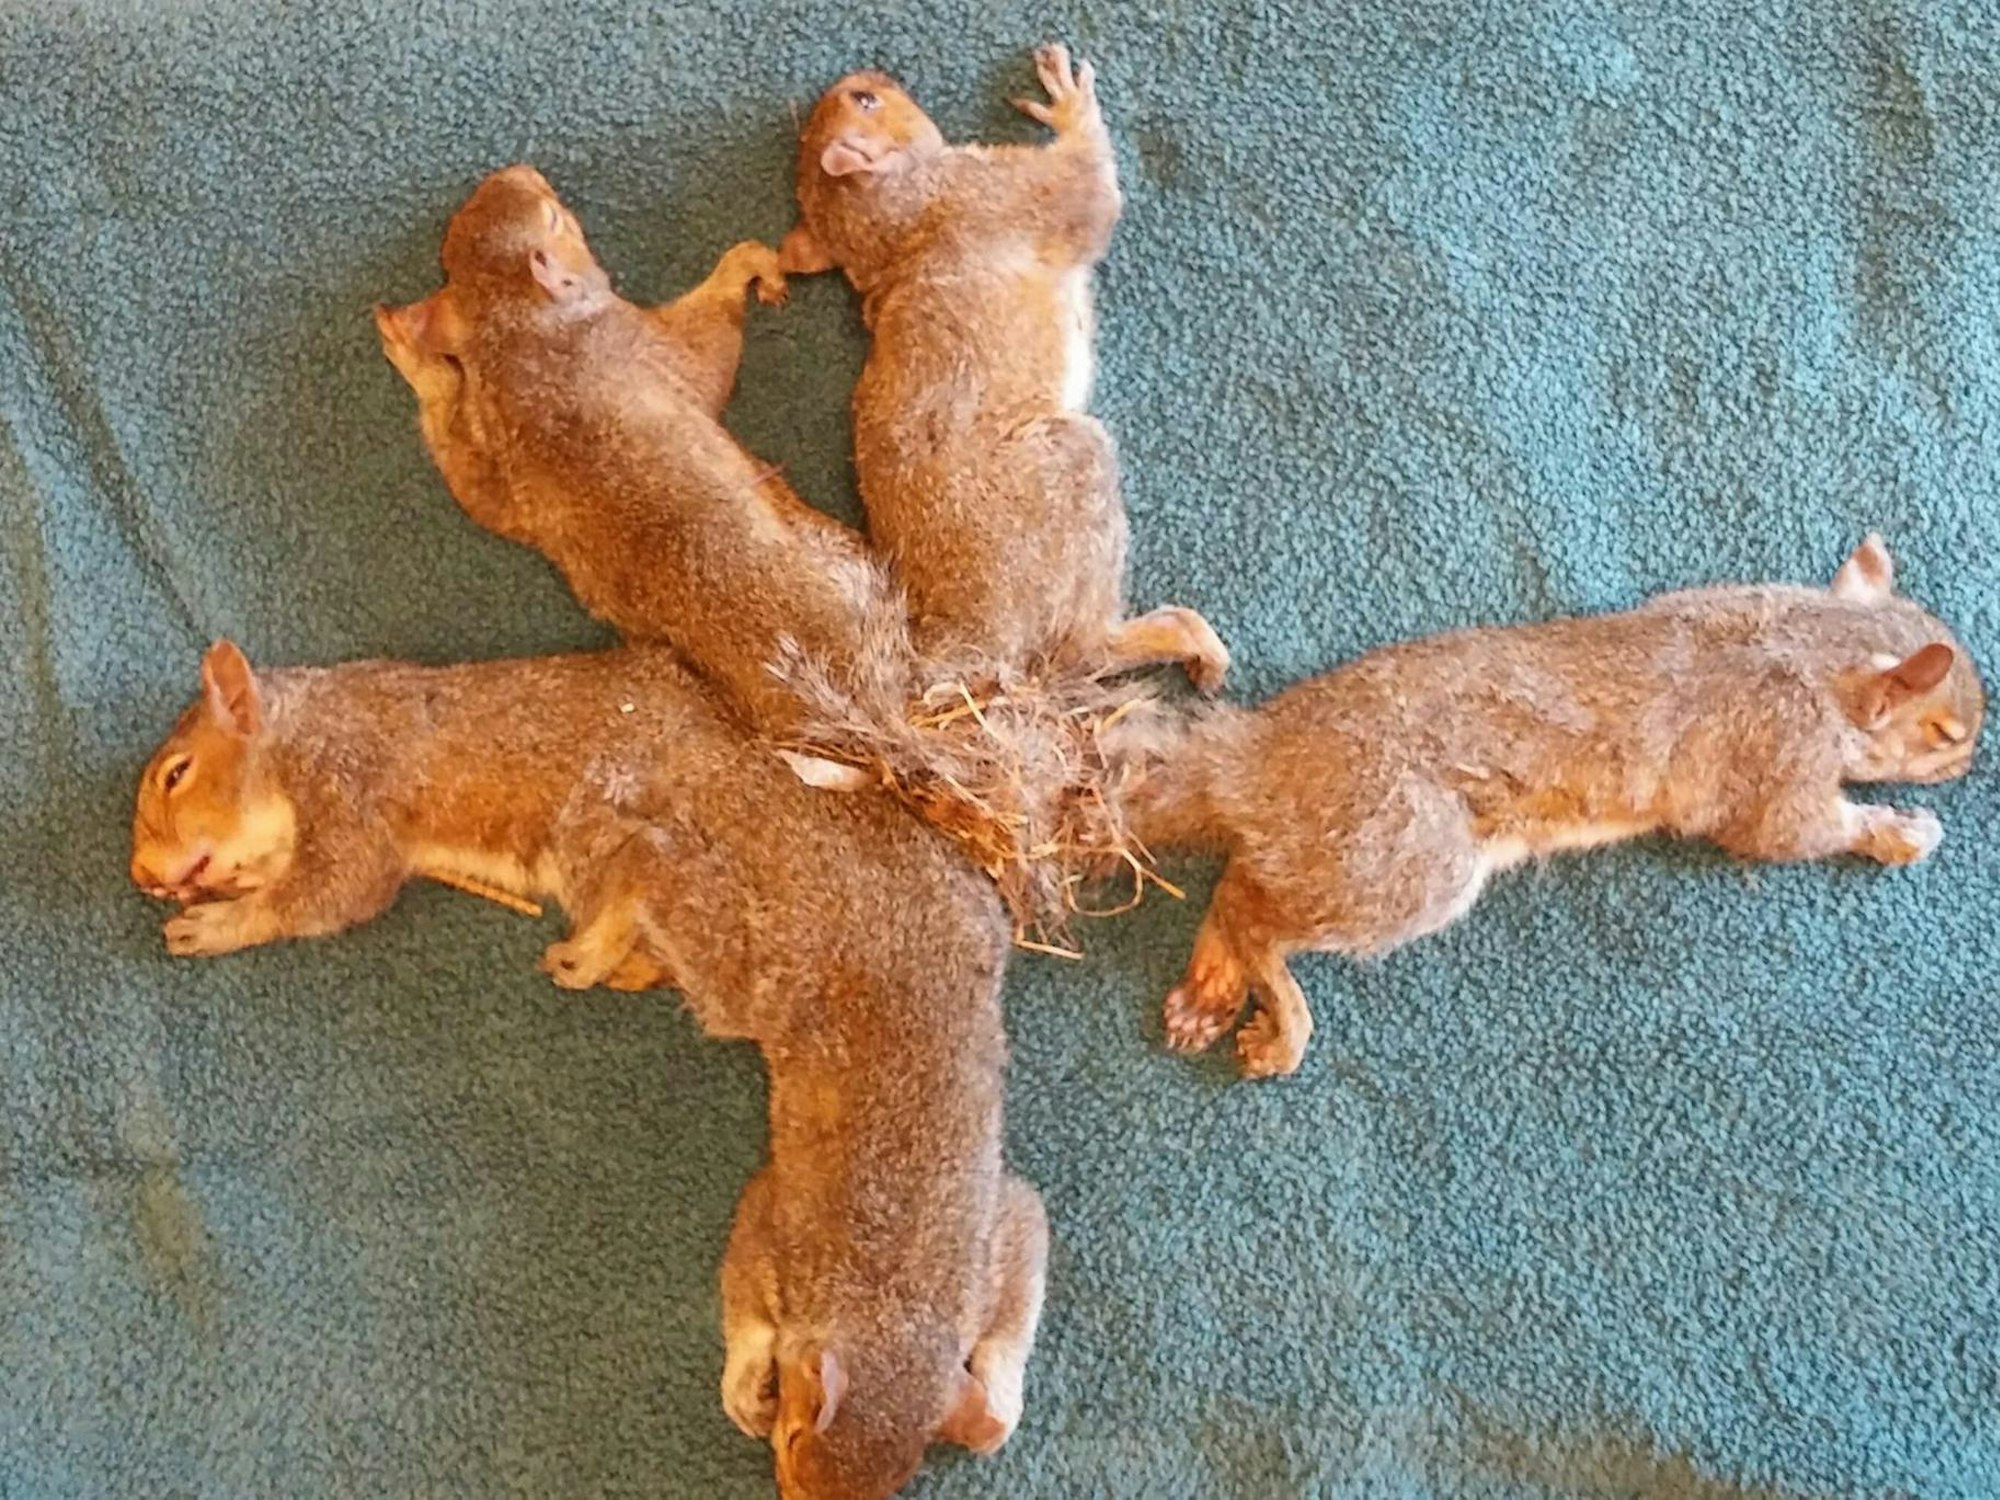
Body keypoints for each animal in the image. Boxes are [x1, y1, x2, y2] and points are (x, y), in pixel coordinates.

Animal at [128, 641, 1048, 1493]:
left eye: (176, 773)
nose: (142, 876)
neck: (303, 733)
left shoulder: (350, 788)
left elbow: (329, 892)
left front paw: (220, 922)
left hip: (682, 877)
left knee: (647, 877)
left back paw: (599, 947)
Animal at [374, 164, 912, 758]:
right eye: (553, 219)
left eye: (450, 256)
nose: (519, 170)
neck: (517, 336)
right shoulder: (645, 346)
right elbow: (709, 350)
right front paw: (747, 264)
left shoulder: (501, 462)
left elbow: (472, 483)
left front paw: (410, 350)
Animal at [779, 45, 1229, 693]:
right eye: (865, 102)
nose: (864, 75)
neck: (893, 220)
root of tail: (967, 635)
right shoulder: (998, 191)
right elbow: (1089, 189)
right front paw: (1069, 106)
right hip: (1069, 471)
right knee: (1078, 651)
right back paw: (1177, 637)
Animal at [1130, 536, 1985, 1079]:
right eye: (1943, 731)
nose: (1974, 759)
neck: (1807, 647)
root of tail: (1256, 757)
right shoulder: (1778, 755)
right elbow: (1795, 830)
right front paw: (1900, 832)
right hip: (1407, 855)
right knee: (1256, 912)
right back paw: (1280, 1012)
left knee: (1239, 882)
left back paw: (1210, 986)